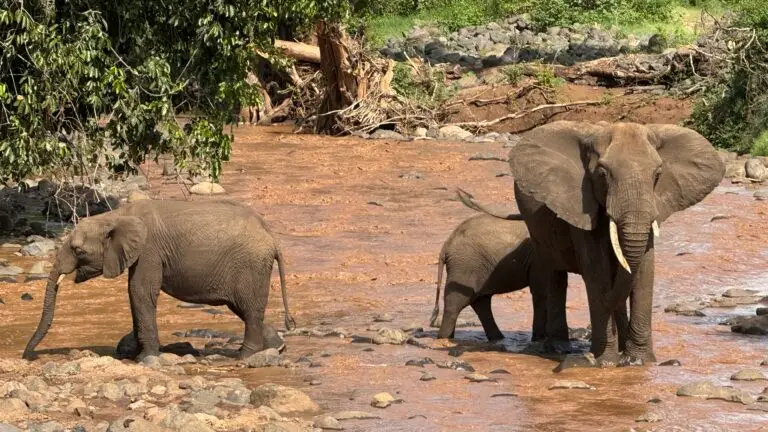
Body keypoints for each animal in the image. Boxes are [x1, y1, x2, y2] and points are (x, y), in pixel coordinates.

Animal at [22, 199, 296, 362]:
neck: (117, 215)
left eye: (78, 250)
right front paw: (134, 355)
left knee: (249, 308)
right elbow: (134, 294)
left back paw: (244, 357)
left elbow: (140, 292)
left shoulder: (149, 250)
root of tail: (272, 237)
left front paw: (146, 359)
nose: (27, 356)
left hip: (251, 265)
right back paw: (276, 348)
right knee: (244, 308)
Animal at [428, 213, 560, 340]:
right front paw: (539, 339)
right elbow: (542, 292)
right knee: (457, 303)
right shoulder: (539, 259)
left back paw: (498, 338)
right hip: (465, 264)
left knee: (481, 302)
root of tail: (447, 243)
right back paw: (444, 338)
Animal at [462, 121, 728, 368]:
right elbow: (597, 270)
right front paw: (606, 361)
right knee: (554, 275)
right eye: (602, 174)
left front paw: (639, 361)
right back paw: (558, 347)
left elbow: (644, 269)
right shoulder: (580, 203)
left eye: (657, 175)